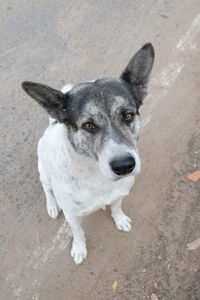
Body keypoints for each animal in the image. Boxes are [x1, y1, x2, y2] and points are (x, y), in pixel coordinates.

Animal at [21, 42, 154, 264]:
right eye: (89, 125)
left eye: (128, 115)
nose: (124, 166)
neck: (97, 177)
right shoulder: (73, 216)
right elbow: (78, 233)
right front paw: (79, 248)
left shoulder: (119, 194)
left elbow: (116, 206)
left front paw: (119, 219)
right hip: (44, 171)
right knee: (47, 188)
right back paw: (52, 205)